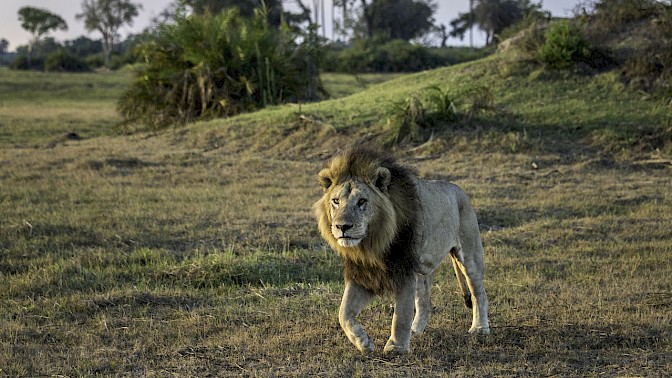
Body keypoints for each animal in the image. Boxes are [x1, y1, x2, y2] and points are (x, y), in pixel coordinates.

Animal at [312, 147, 490, 354]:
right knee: (424, 303)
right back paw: (416, 330)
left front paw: (396, 347)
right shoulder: (363, 273)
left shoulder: (404, 269)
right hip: (421, 269)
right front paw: (363, 342)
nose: (342, 227)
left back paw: (480, 328)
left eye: (362, 201)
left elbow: (402, 314)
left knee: (479, 293)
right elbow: (343, 313)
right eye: (335, 201)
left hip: (470, 256)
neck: (371, 244)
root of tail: (459, 190)